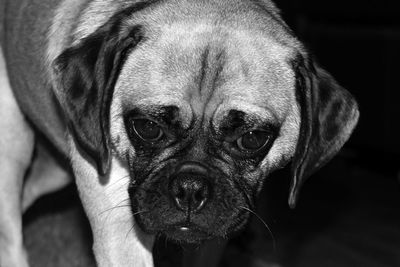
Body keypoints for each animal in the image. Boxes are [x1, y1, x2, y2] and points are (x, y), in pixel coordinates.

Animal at [0, 0, 360, 266]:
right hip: (14, 150)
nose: (190, 188)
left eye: (252, 139)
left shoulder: (213, 238)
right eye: (147, 128)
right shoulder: (119, 234)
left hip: (54, 170)